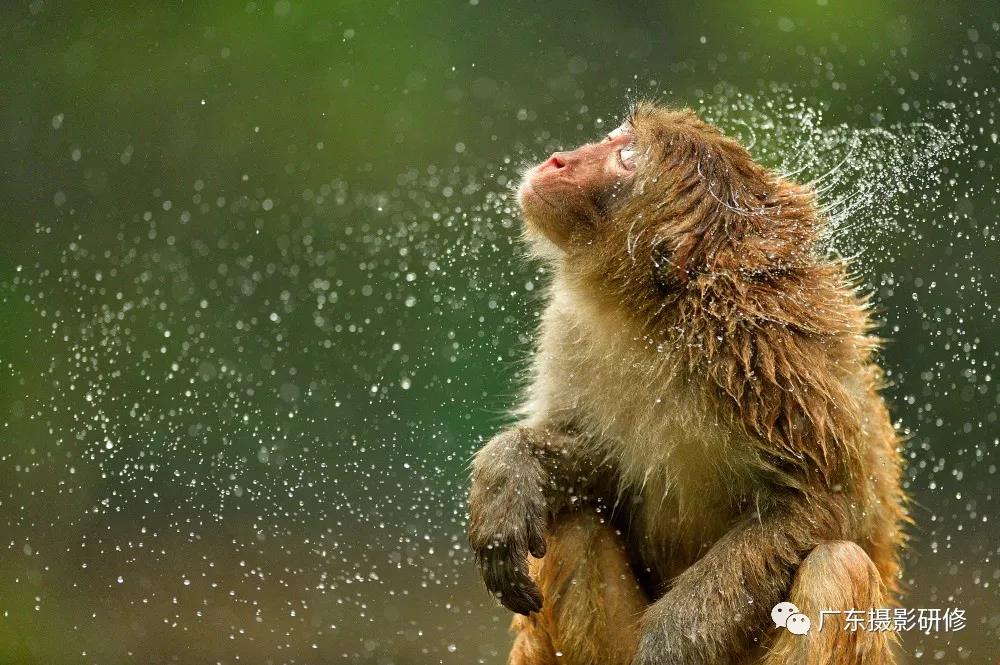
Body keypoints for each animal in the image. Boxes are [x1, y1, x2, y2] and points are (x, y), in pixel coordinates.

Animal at [466, 100, 908, 664]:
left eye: (627, 159)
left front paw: (670, 645)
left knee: (839, 565)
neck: (657, 321)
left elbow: (823, 505)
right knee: (575, 526)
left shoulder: (768, 359)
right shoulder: (570, 323)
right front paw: (511, 468)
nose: (559, 159)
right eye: (615, 137)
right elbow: (601, 467)